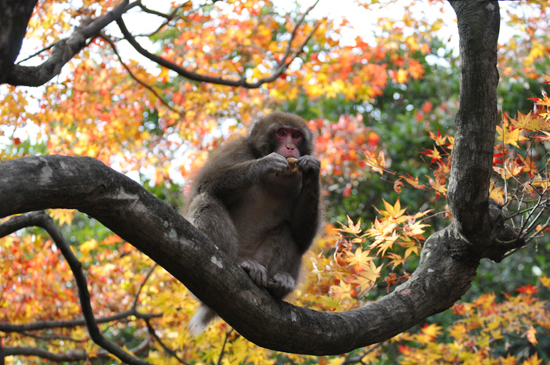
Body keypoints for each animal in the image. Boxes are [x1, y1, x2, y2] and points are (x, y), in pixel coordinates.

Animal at [185, 111, 324, 336]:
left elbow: (301, 237)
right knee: (206, 200)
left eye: (296, 136)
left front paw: (312, 171)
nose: (290, 148)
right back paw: (241, 265)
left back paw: (279, 284)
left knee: (286, 231)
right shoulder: (237, 150)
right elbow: (204, 186)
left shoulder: (297, 177)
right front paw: (263, 164)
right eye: (281, 133)